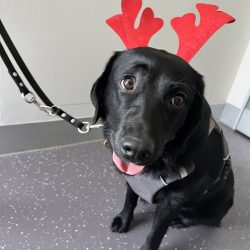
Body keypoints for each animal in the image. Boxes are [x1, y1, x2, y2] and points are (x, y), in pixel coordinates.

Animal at [90, 47, 234, 250]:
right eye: (128, 82)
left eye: (178, 100)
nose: (137, 150)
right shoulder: (133, 181)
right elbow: (129, 200)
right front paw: (124, 219)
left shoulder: (171, 202)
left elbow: (155, 233)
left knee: (205, 219)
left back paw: (181, 221)